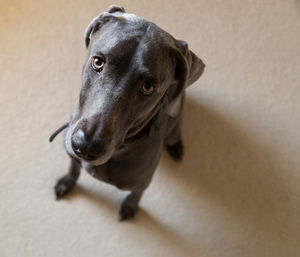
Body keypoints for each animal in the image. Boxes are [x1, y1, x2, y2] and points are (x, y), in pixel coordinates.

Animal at [50, 5, 205, 219]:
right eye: (98, 62)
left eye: (147, 87)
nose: (85, 146)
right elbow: (73, 168)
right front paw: (66, 182)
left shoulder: (142, 182)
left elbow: (136, 194)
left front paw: (130, 207)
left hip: (177, 116)